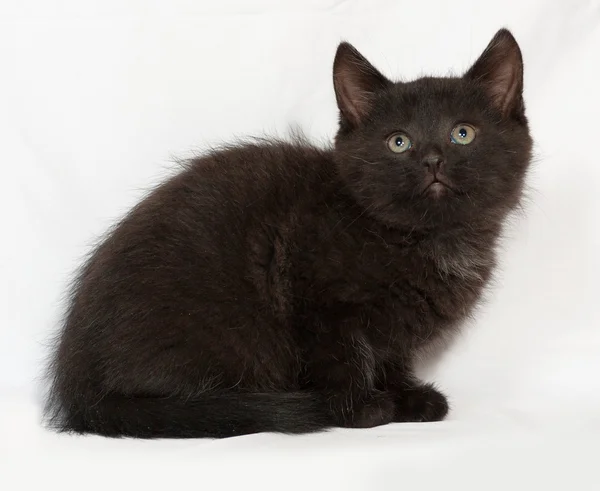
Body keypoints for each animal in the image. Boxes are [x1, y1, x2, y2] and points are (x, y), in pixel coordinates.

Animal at [48, 29, 536, 438]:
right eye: (398, 142)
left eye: (462, 134)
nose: (433, 159)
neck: (427, 237)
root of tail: (79, 392)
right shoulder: (317, 297)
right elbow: (343, 356)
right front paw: (361, 409)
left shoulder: (392, 328)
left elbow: (390, 356)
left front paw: (407, 398)